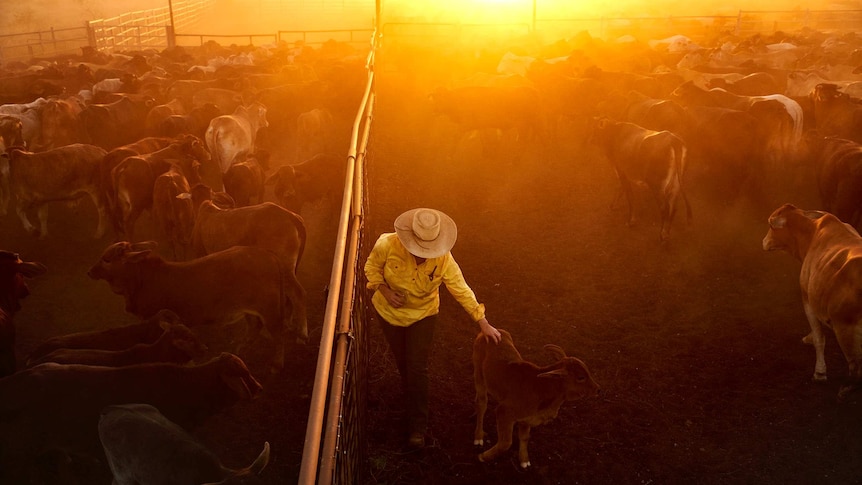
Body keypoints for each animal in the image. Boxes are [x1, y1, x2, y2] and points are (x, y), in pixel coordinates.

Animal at [472, 328, 600, 466]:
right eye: (581, 377)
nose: (598, 389)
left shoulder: (526, 419)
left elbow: (525, 437)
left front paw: (524, 460)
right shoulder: (504, 411)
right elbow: (506, 442)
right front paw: (483, 457)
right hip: (479, 374)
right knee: (482, 403)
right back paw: (478, 436)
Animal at [764, 202, 862, 398]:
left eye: (771, 226)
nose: (763, 241)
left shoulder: (808, 300)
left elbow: (819, 338)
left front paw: (820, 372)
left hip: (846, 328)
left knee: (855, 368)